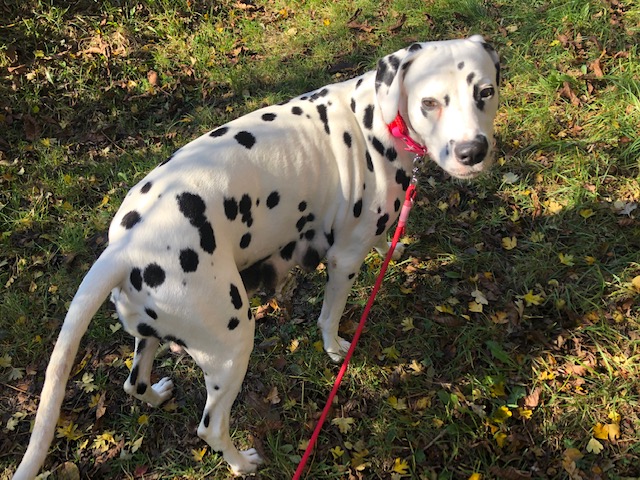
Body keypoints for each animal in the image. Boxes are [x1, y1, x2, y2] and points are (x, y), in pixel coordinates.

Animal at [12, 33, 498, 476]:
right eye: (430, 102)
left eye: (485, 92)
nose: (472, 152)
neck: (375, 117)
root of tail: (127, 247)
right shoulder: (344, 260)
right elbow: (330, 318)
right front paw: (336, 348)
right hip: (232, 345)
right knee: (210, 427)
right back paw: (241, 463)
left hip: (149, 337)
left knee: (135, 383)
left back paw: (156, 395)